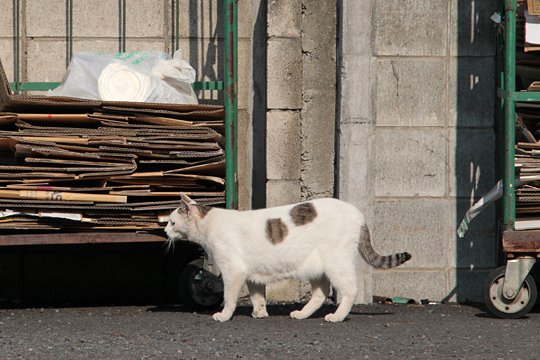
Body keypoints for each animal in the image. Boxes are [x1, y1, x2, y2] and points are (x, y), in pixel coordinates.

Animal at [165, 194, 410, 324]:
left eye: (172, 222)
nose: (165, 230)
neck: (207, 223)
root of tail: (358, 213)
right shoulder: (252, 275)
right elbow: (257, 296)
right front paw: (260, 313)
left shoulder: (234, 270)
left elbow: (229, 297)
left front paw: (224, 315)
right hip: (317, 267)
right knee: (320, 294)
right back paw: (301, 314)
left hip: (336, 263)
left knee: (350, 290)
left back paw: (336, 316)